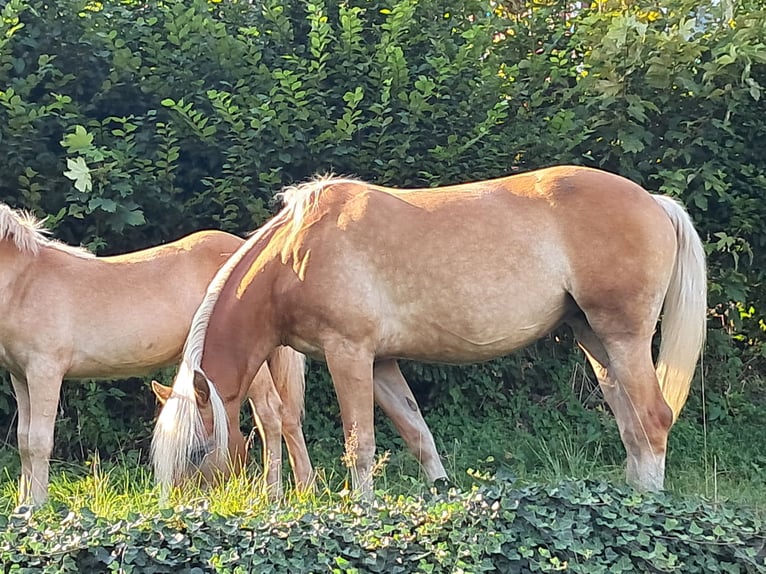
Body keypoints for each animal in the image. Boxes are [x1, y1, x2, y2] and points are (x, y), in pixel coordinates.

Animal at [0, 204, 312, 508]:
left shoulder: (45, 371)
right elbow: (24, 440)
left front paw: (37, 505)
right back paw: (303, 488)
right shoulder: (21, 375)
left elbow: (39, 441)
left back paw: (273, 495)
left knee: (270, 415)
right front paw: (23, 506)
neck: (26, 280)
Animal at [153, 166, 712, 500]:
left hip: (623, 336)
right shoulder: (381, 363)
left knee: (654, 418)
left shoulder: (348, 354)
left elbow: (360, 442)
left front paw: (361, 509)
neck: (295, 254)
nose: (182, 512)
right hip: (594, 339)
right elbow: (417, 433)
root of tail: (654, 201)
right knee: (630, 423)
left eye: (197, 452)